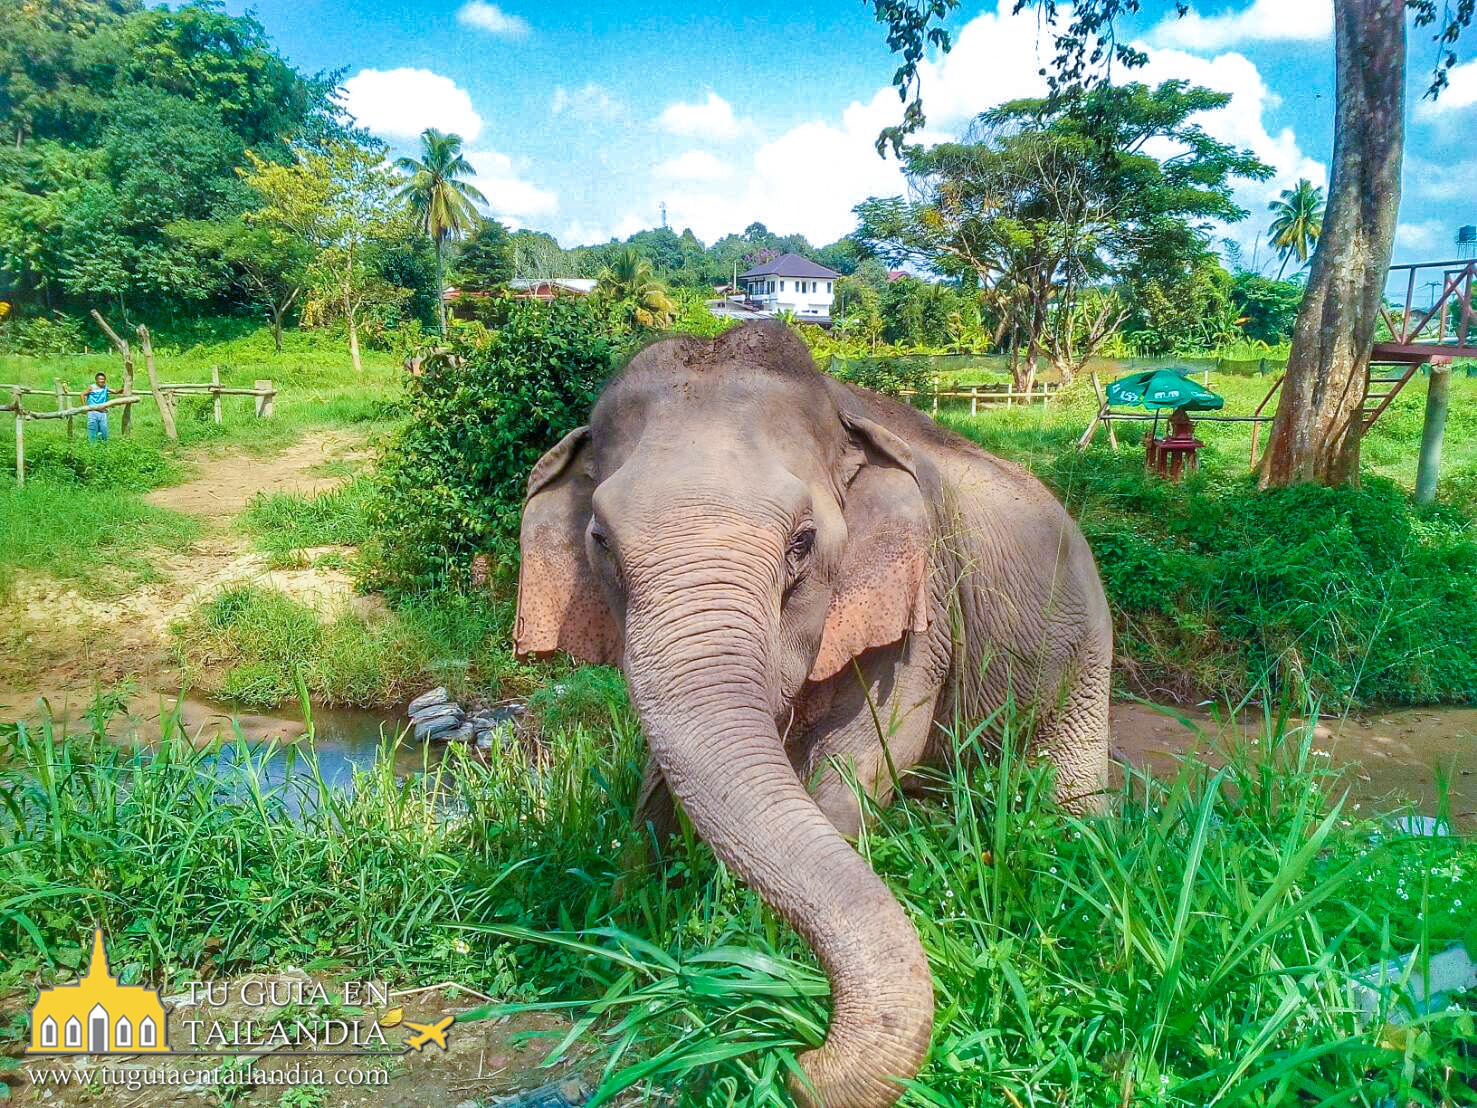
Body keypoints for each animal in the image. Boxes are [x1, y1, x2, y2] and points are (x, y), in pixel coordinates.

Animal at [513, 321, 1112, 1108]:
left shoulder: (922, 601)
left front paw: (753, 952)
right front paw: (623, 932)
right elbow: (661, 767)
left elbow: (873, 749)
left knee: (1066, 783)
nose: (802, 1055)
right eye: (600, 543)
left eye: (803, 544)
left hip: (1085, 643)